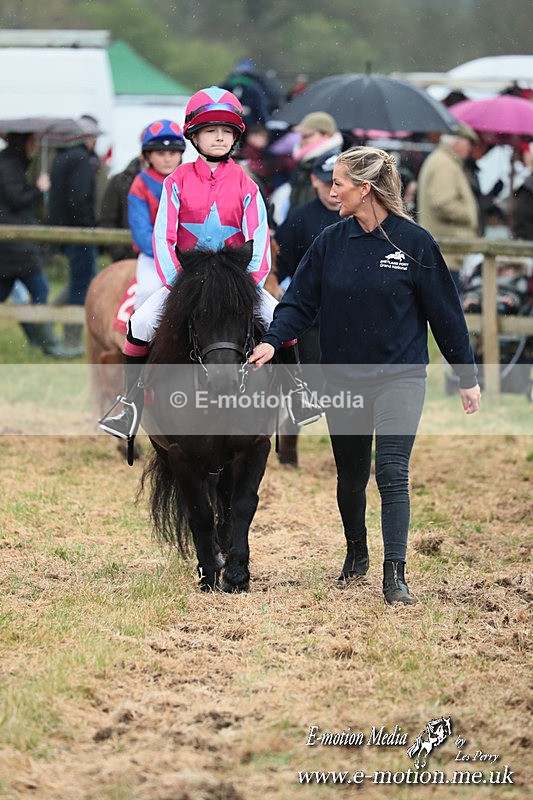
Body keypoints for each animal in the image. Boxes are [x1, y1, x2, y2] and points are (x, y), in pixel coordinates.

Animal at [140, 242, 277, 592]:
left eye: (243, 312)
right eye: (199, 314)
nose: (223, 381)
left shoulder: (254, 446)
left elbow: (242, 503)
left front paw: (238, 573)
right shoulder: (181, 455)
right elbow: (199, 513)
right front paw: (210, 573)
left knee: (226, 501)